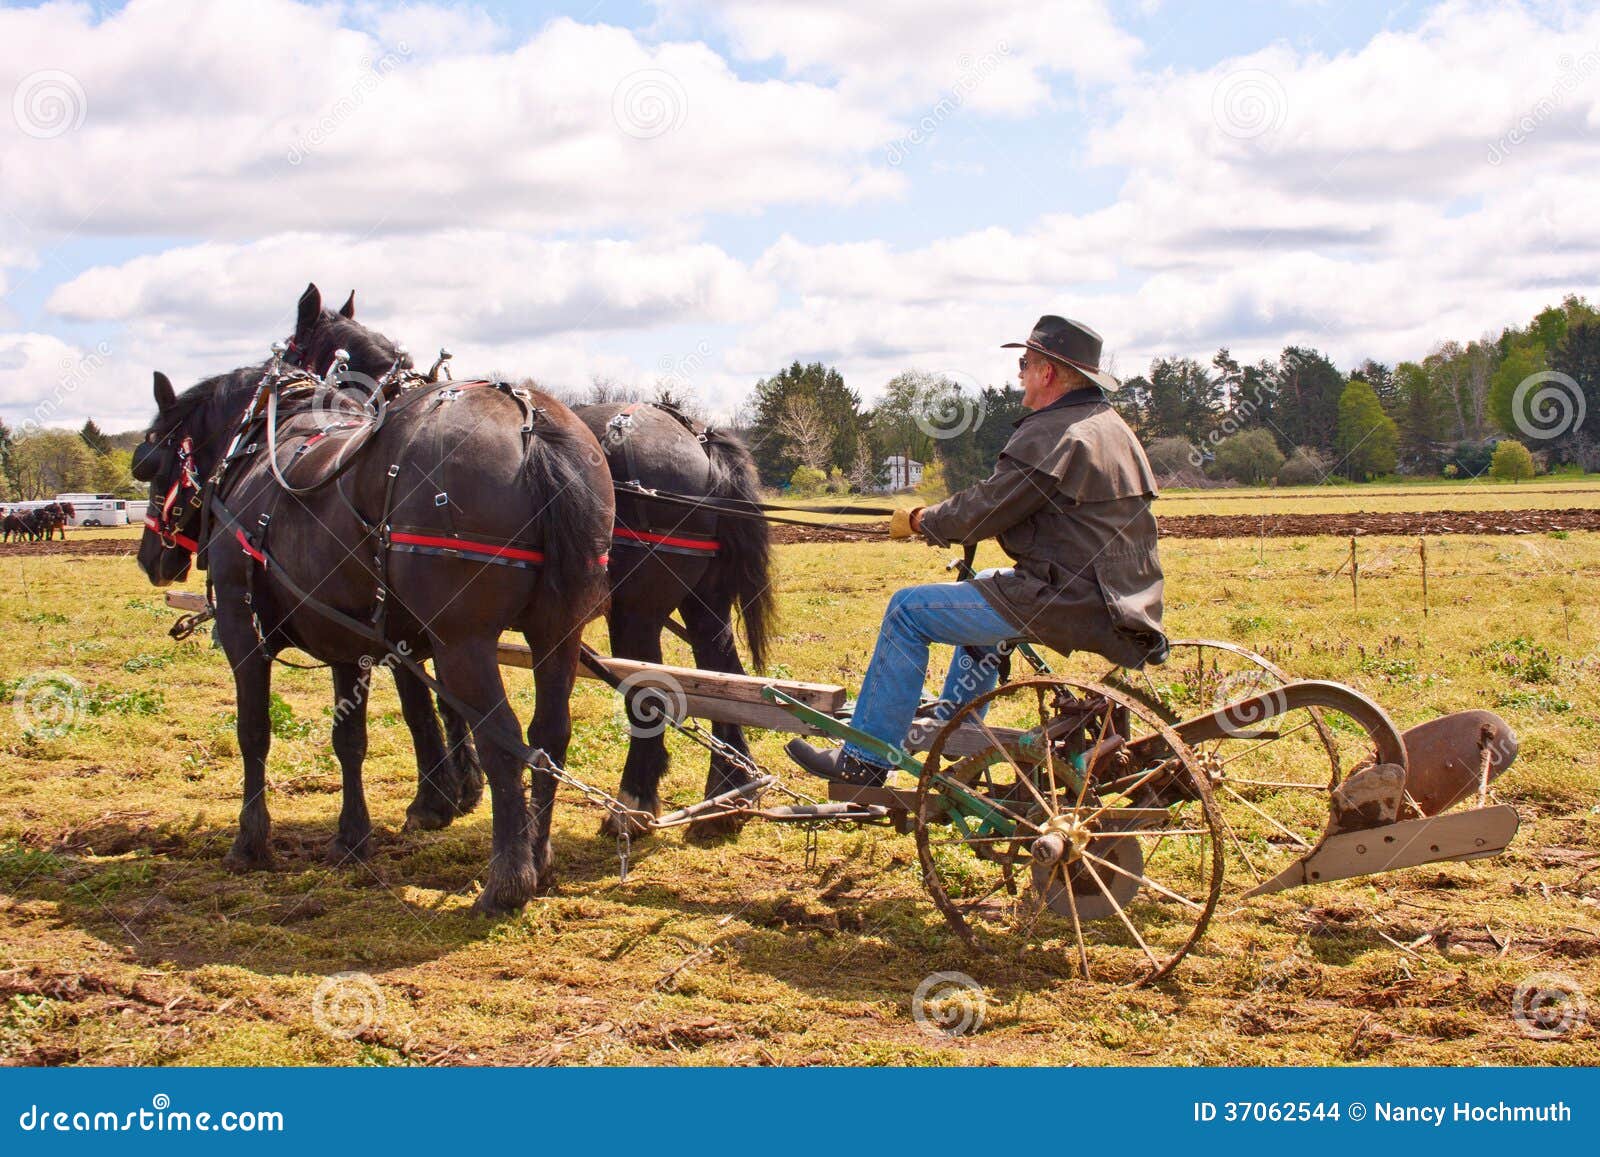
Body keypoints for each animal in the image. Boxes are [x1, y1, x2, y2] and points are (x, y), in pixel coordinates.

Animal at [132, 283, 615, 914]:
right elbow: (355, 738)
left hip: (465, 642)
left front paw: (250, 841)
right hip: (557, 632)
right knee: (548, 735)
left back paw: (507, 881)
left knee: (504, 739)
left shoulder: (243, 628)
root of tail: (531, 424)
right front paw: (356, 836)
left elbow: (255, 730)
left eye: (150, 462)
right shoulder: (353, 636)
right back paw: (539, 854)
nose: (151, 558)